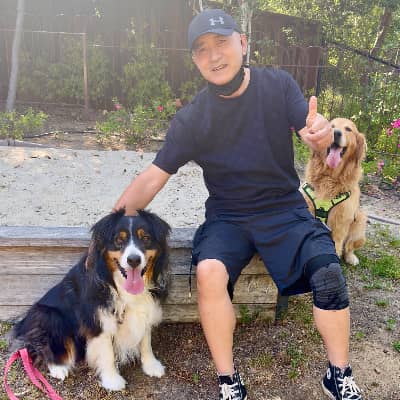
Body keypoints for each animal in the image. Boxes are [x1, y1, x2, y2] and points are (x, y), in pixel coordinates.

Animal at [11, 208, 170, 391]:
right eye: (118, 240)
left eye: (146, 238)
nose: (134, 260)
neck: (119, 285)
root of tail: (23, 324)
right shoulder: (97, 319)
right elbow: (107, 352)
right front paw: (112, 380)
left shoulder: (145, 309)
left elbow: (145, 340)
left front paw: (151, 365)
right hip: (47, 315)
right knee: (43, 347)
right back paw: (58, 368)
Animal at [302, 117, 367, 265]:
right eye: (330, 126)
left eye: (348, 129)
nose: (336, 133)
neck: (329, 177)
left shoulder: (341, 221)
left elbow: (337, 246)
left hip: (360, 220)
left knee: (349, 246)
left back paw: (351, 257)